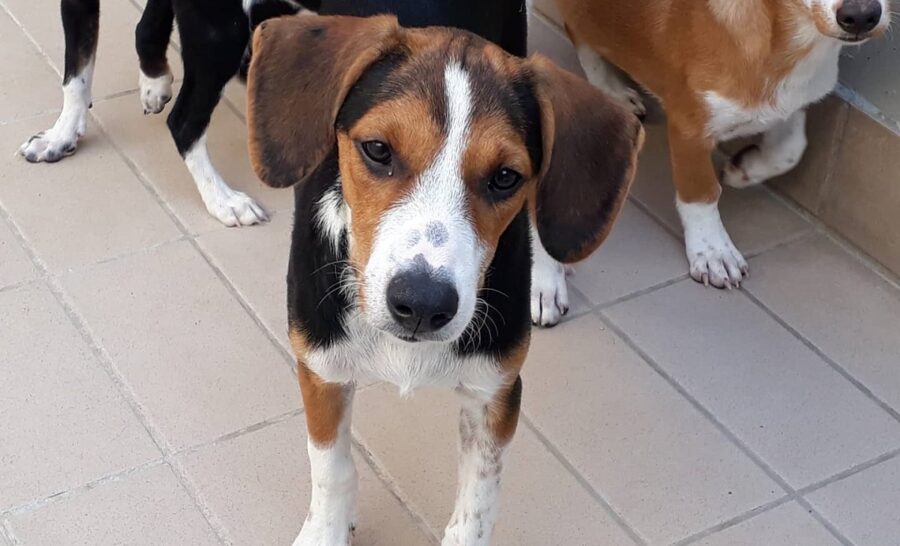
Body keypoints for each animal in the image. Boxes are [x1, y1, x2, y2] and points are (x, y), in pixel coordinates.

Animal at [243, 9, 644, 544]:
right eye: (377, 149)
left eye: (505, 178)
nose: (422, 304)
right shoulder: (321, 369)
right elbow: (331, 470)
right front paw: (327, 529)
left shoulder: (496, 392)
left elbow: (477, 506)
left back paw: (547, 281)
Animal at [560, 0, 888, 288]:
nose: (861, 16)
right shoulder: (689, 126)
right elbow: (701, 193)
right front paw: (713, 251)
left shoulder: (794, 101)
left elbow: (792, 148)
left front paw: (745, 170)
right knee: (576, 27)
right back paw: (610, 88)